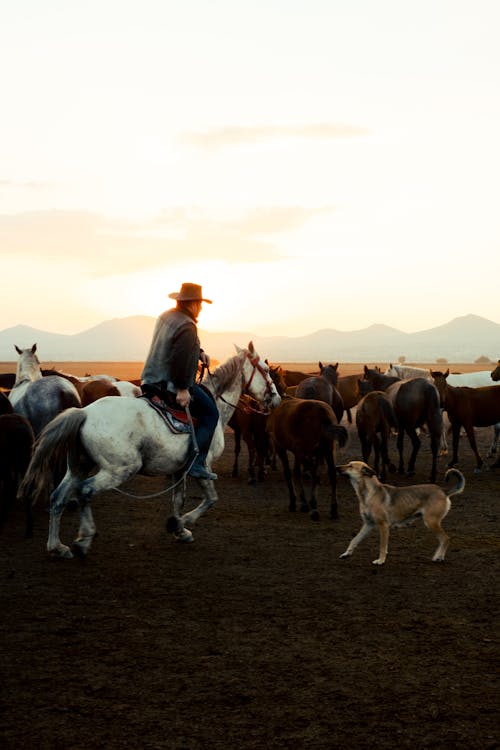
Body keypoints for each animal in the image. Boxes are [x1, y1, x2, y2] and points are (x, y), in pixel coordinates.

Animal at [20, 344, 282, 560]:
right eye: (266, 370)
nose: (277, 399)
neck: (215, 403)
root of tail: (84, 413)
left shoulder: (181, 469)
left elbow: (178, 499)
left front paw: (180, 529)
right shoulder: (202, 466)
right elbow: (211, 499)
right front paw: (181, 524)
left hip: (79, 465)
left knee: (58, 497)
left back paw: (57, 547)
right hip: (118, 469)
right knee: (85, 491)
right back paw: (83, 540)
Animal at [338, 462, 466, 568]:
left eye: (350, 466)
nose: (336, 467)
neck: (368, 494)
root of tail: (443, 490)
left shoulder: (383, 526)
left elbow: (382, 546)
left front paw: (380, 561)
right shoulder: (368, 524)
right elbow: (355, 540)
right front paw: (346, 553)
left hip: (430, 522)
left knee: (446, 539)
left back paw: (438, 557)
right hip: (432, 522)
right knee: (443, 539)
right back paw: (439, 556)